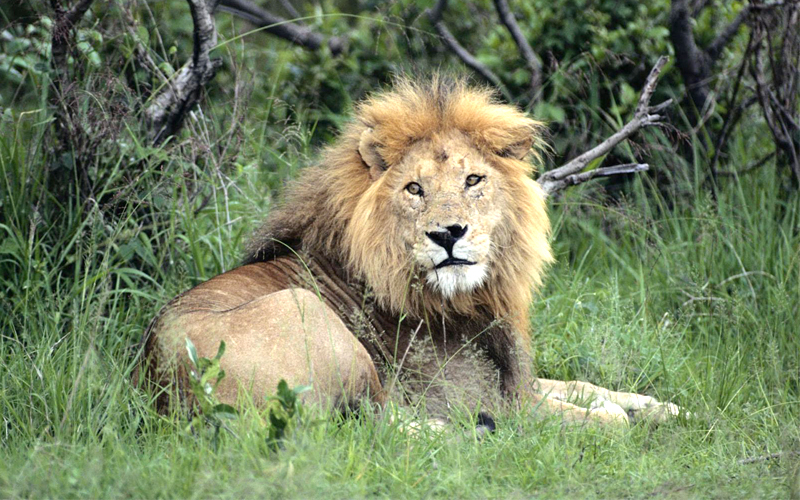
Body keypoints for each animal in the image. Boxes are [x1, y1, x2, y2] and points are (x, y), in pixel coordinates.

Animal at [139, 76, 680, 427]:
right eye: (415, 189)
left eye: (473, 180)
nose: (449, 233)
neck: (471, 299)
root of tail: (166, 390)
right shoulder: (497, 400)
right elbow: (605, 421)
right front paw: (620, 416)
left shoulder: (516, 380)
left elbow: (587, 387)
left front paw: (664, 406)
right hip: (306, 315)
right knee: (386, 430)